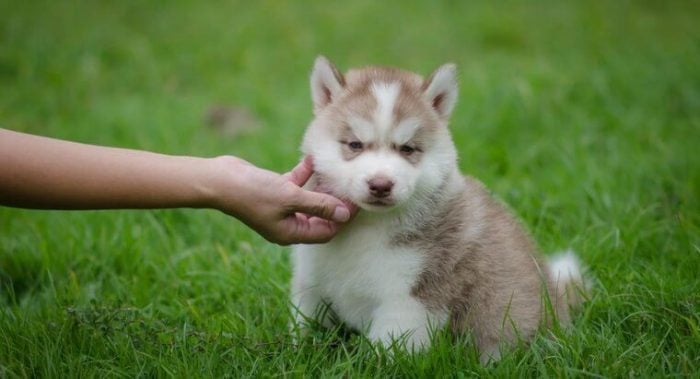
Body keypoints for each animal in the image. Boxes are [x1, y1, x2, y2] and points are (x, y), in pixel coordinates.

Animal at [290, 55, 584, 362]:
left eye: (407, 149)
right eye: (355, 144)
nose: (380, 185)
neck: (369, 225)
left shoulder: (411, 298)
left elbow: (388, 349)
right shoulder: (311, 281)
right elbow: (306, 322)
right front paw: (301, 351)